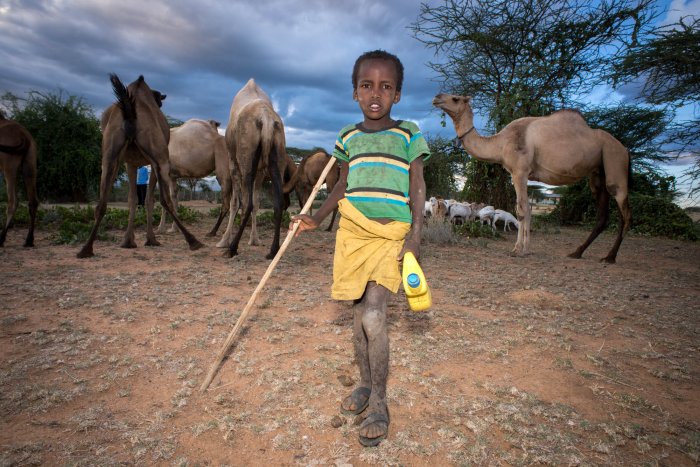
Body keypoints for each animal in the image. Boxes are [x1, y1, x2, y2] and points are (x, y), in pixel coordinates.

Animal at [0, 111, 38, 249]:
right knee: (33, 201)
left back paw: (2, 238)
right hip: (30, 164)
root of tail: (25, 137)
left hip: (9, 166)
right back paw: (29, 240)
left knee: (13, 201)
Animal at [77, 75, 202, 262]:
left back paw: (86, 249)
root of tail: (130, 113)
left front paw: (128, 241)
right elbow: (149, 199)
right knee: (165, 199)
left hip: (109, 157)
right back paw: (193, 241)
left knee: (101, 203)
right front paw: (150, 239)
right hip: (160, 157)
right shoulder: (152, 161)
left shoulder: (130, 163)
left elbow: (133, 199)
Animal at [219, 77, 296, 260]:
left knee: (247, 203)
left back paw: (232, 248)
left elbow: (235, 202)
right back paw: (273, 250)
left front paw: (224, 241)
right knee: (278, 202)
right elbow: (257, 202)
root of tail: (266, 120)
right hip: (277, 155)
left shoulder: (233, 163)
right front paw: (254, 240)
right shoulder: (261, 171)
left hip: (246, 159)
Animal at [434, 94, 632, 264]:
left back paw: (610, 257)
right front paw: (526, 248)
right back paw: (577, 252)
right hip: (598, 171)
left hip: (614, 161)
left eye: (455, 98)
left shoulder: (519, 171)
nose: (436, 98)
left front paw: (518, 249)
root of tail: (625, 149)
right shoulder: (523, 174)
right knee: (602, 213)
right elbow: (526, 210)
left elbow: (521, 211)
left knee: (625, 214)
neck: (501, 143)